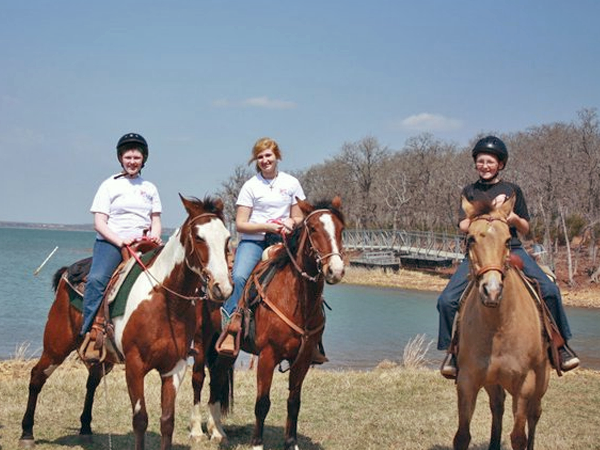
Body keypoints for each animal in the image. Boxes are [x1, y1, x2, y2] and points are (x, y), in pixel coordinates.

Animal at [18, 196, 234, 450]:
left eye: (227, 238)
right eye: (199, 237)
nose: (222, 287)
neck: (165, 303)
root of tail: (66, 274)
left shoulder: (175, 368)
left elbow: (167, 421)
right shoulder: (134, 366)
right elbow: (140, 419)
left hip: (102, 357)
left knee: (91, 382)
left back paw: (85, 429)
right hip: (56, 346)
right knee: (37, 376)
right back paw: (27, 433)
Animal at [190, 197, 344, 450]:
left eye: (341, 229)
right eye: (313, 229)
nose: (335, 270)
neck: (296, 299)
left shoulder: (303, 359)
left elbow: (294, 402)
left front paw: (291, 443)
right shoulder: (267, 356)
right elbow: (262, 403)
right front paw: (257, 444)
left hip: (225, 349)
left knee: (217, 378)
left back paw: (217, 431)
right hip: (202, 340)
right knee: (198, 379)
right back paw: (196, 431)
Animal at [452, 196, 552, 450]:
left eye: (508, 240)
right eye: (471, 239)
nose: (492, 290)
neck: (498, 326)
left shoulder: (526, 383)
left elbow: (518, 436)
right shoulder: (468, 380)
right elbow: (462, 436)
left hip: (542, 380)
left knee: (534, 415)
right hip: (493, 382)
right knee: (497, 407)